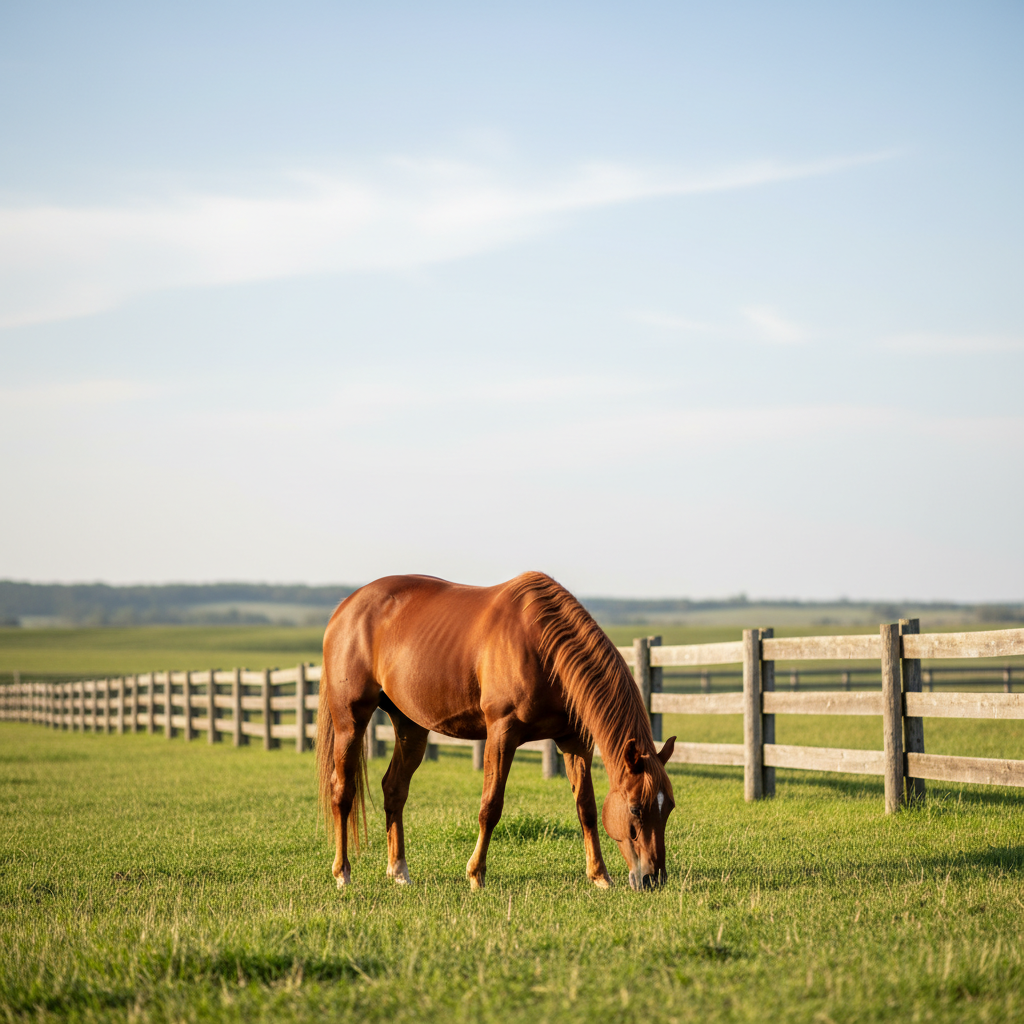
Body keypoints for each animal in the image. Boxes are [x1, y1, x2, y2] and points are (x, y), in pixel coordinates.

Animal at [316, 571, 676, 891]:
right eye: (636, 809)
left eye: (669, 806)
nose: (653, 879)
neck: (542, 647)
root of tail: (346, 607)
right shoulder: (502, 733)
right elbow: (490, 806)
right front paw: (476, 875)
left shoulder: (573, 741)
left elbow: (585, 807)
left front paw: (599, 875)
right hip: (350, 721)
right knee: (342, 790)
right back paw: (342, 873)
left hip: (411, 727)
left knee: (394, 789)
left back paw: (399, 872)